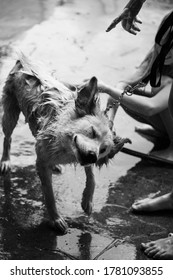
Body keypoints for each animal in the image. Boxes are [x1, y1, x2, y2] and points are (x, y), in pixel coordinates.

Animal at [0, 53, 130, 233]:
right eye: (92, 132)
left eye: (103, 149)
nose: (93, 155)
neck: (66, 147)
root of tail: (24, 61)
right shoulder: (47, 162)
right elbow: (49, 195)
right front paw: (55, 219)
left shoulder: (81, 157)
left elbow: (92, 176)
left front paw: (87, 200)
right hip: (10, 112)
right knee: (8, 137)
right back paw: (5, 161)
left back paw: (55, 165)